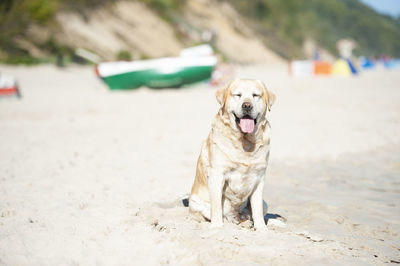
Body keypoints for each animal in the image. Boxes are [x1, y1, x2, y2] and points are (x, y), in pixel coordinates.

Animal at [188, 78, 276, 230]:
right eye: (238, 95)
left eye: (255, 95)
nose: (247, 106)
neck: (245, 142)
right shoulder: (217, 174)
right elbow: (217, 206)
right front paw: (217, 226)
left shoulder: (259, 177)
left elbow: (257, 209)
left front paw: (262, 229)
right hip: (195, 201)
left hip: (265, 203)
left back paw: (247, 221)